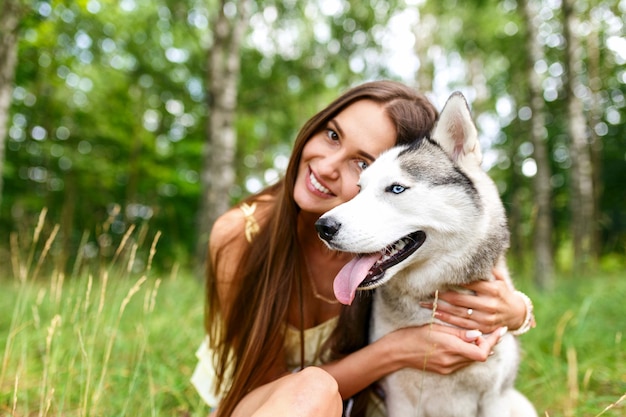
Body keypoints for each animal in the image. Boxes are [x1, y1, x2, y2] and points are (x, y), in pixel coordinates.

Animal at [316, 93, 532, 416]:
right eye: (359, 189)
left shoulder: (495, 399)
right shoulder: (400, 399)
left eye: (396, 188)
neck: (433, 298)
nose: (323, 227)